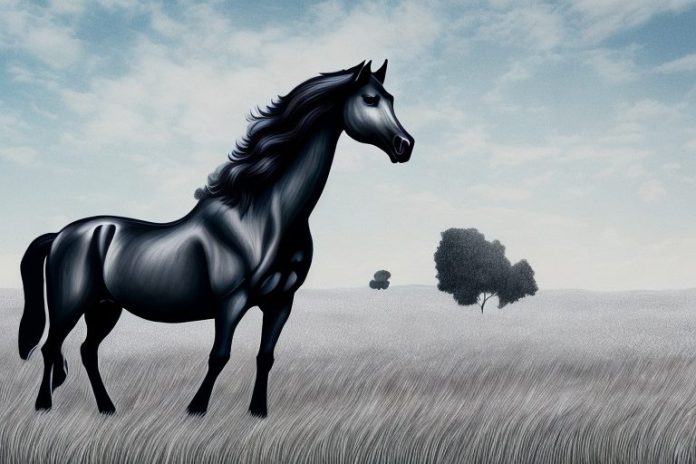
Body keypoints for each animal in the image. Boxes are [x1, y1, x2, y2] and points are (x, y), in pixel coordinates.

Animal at [18, 60, 414, 417]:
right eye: (370, 99)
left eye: (391, 98)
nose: (404, 145)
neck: (263, 218)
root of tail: (62, 234)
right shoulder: (231, 302)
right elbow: (219, 356)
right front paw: (196, 409)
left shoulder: (281, 303)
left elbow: (265, 356)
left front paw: (258, 411)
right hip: (69, 306)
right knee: (51, 348)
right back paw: (44, 406)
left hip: (104, 307)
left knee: (87, 352)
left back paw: (107, 408)